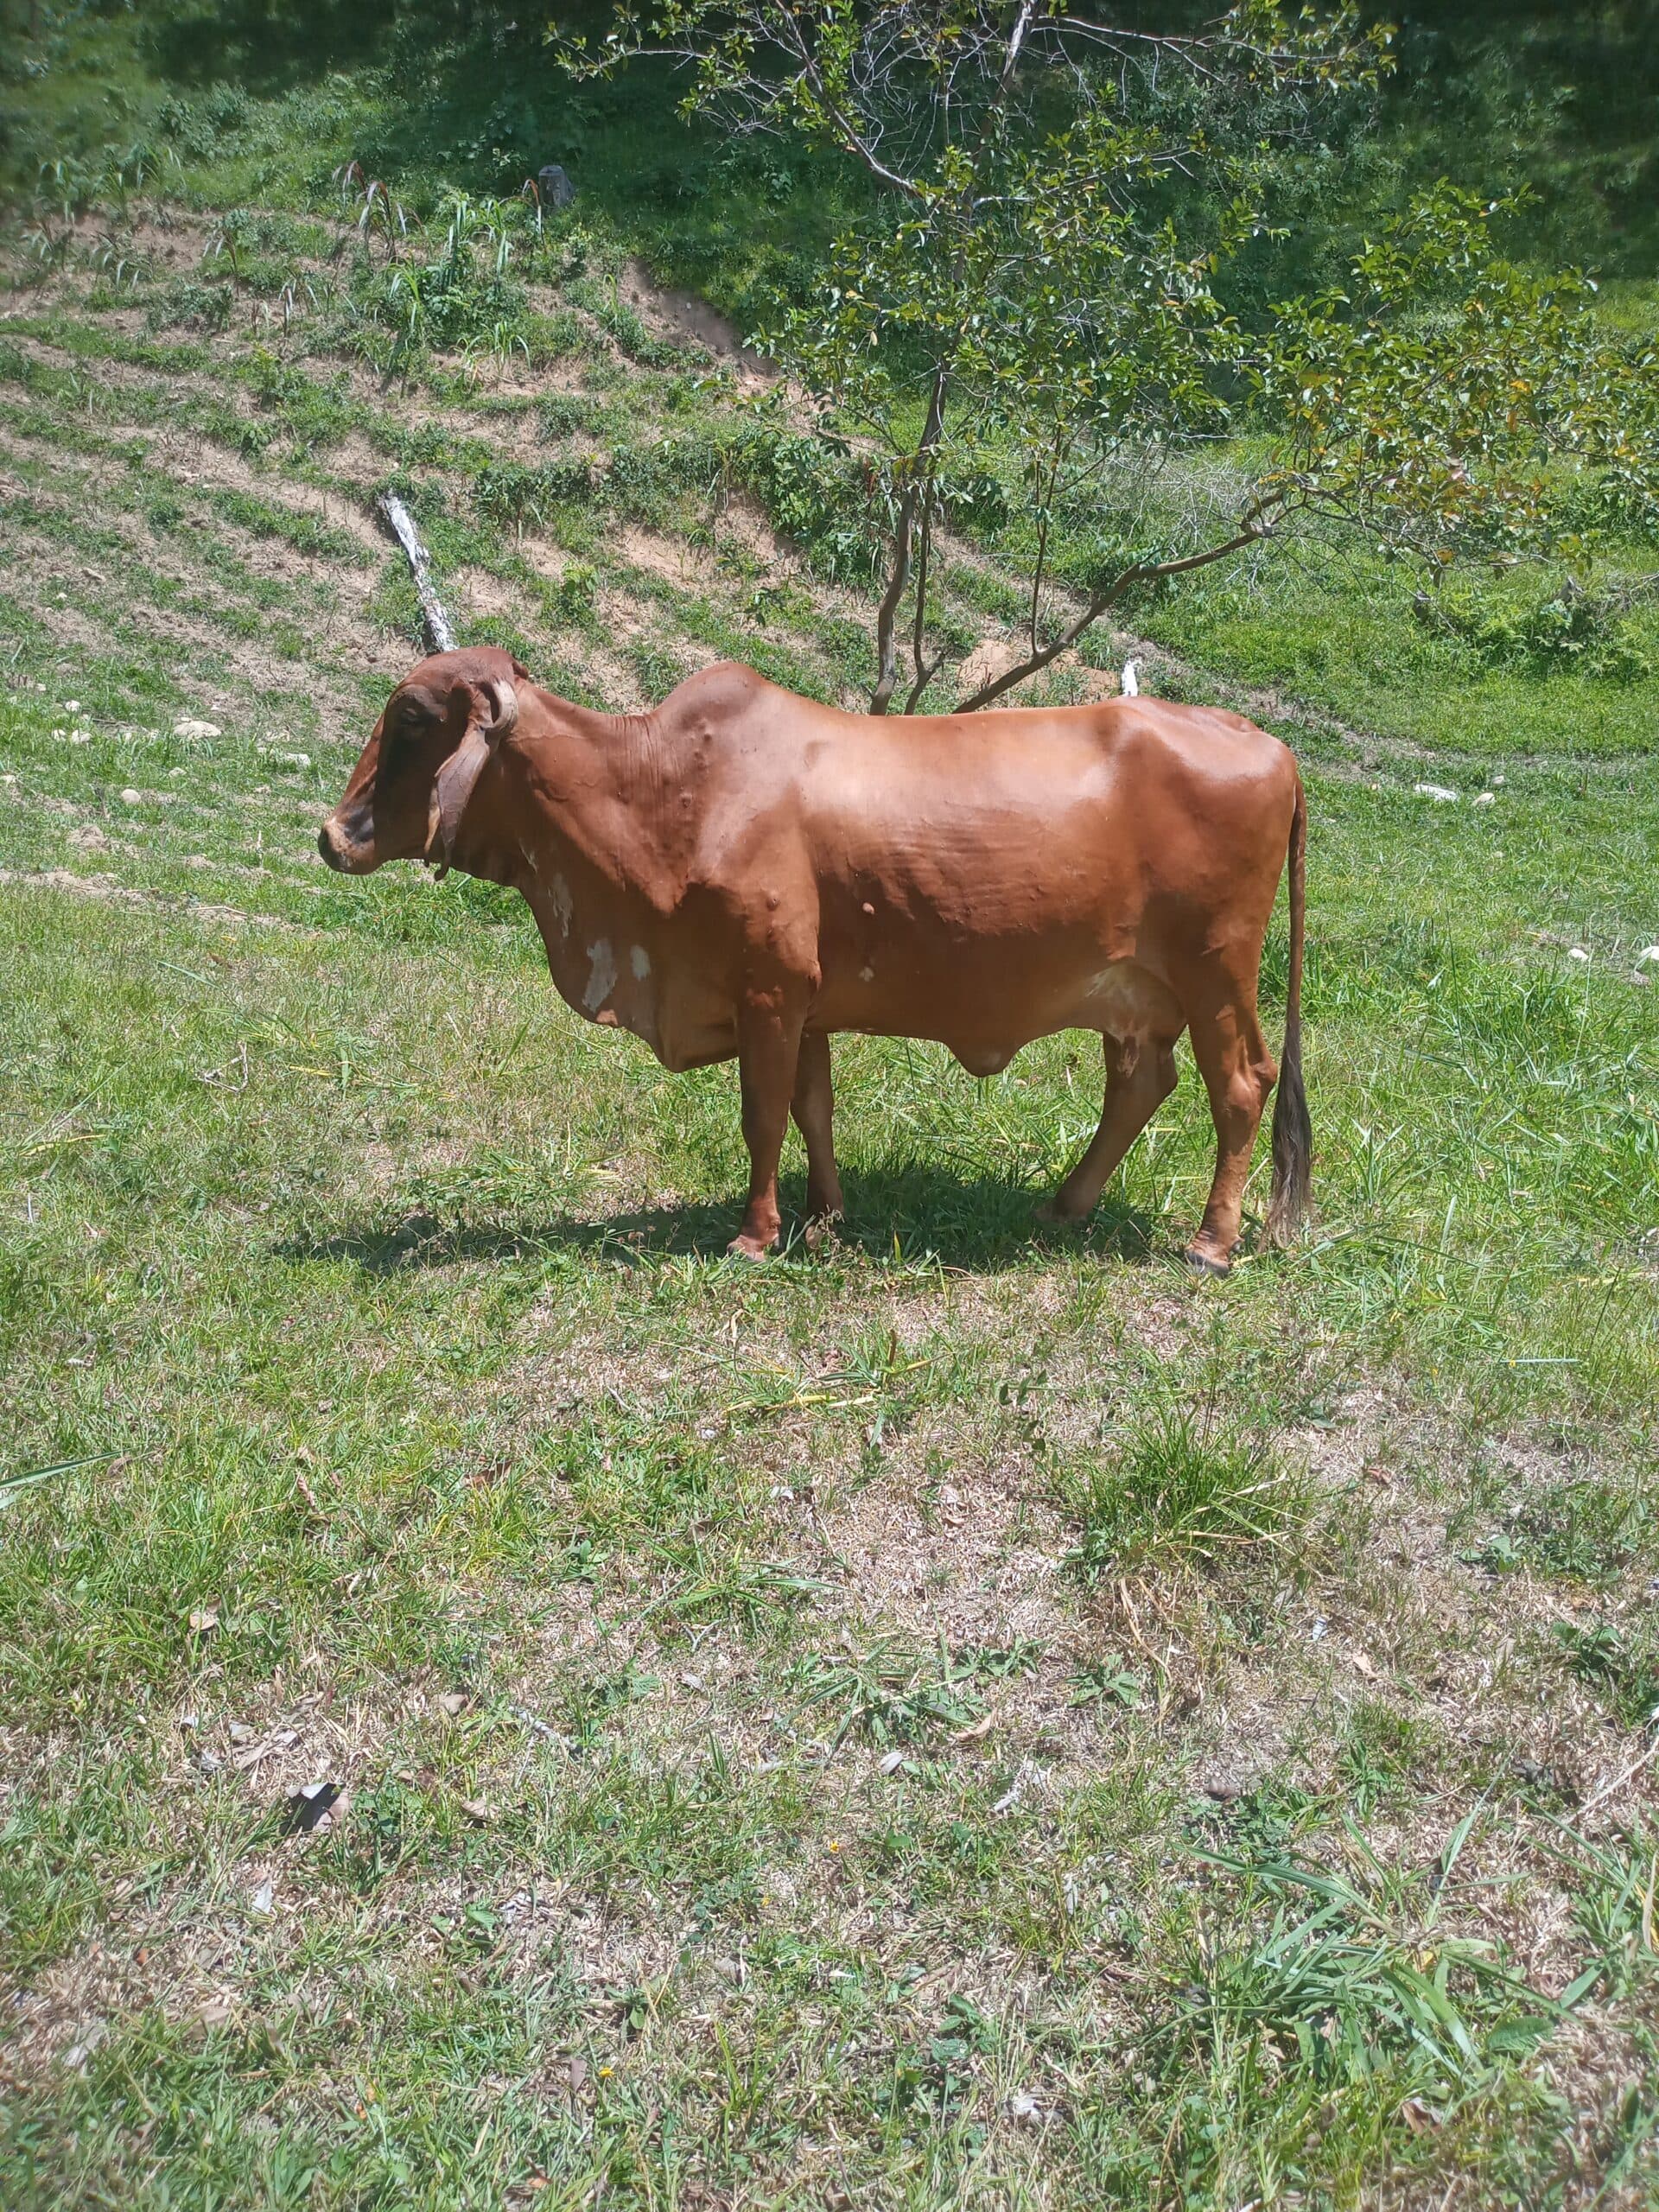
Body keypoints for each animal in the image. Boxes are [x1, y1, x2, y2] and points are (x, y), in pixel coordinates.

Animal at [319, 648, 1310, 1274]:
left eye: (411, 719)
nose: (332, 834)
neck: (656, 793)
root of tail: (1265, 741)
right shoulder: (806, 1003)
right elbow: (813, 1111)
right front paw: (825, 1216)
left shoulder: (767, 990)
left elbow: (762, 1118)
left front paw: (756, 1234)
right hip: (1133, 996)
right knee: (1142, 1086)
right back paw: (1065, 1205)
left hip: (1217, 973)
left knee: (1241, 1087)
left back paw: (1212, 1242)